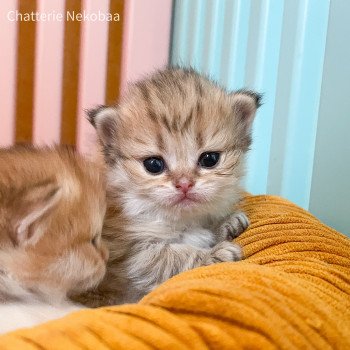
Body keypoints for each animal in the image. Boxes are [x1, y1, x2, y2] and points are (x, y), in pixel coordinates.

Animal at [79, 67, 260, 306]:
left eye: (209, 159)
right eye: (154, 165)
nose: (184, 184)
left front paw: (225, 223)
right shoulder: (132, 254)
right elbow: (173, 256)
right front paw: (214, 254)